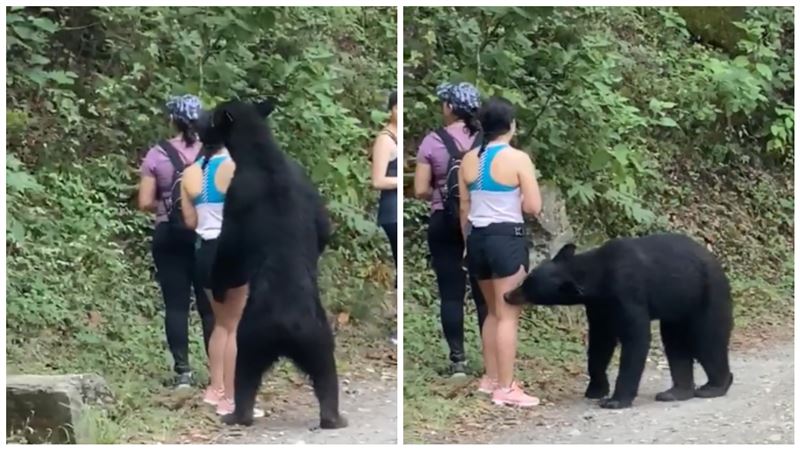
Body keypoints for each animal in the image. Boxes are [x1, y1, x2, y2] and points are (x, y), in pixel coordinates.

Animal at [196, 98, 347, 429]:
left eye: (212, 117)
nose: (199, 126)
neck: (261, 154)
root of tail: (289, 328)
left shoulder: (237, 195)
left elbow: (230, 250)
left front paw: (219, 286)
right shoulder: (305, 180)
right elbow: (322, 226)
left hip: (251, 336)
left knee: (244, 374)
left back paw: (237, 415)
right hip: (319, 338)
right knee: (327, 374)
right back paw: (333, 416)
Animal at [504, 233, 734, 409]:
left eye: (528, 288)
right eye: (526, 280)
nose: (507, 295)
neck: (597, 276)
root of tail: (716, 261)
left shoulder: (627, 291)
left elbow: (636, 338)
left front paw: (615, 400)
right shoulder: (599, 306)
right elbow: (600, 342)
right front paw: (596, 389)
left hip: (706, 295)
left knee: (708, 339)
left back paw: (715, 386)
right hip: (677, 307)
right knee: (675, 343)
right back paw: (676, 391)